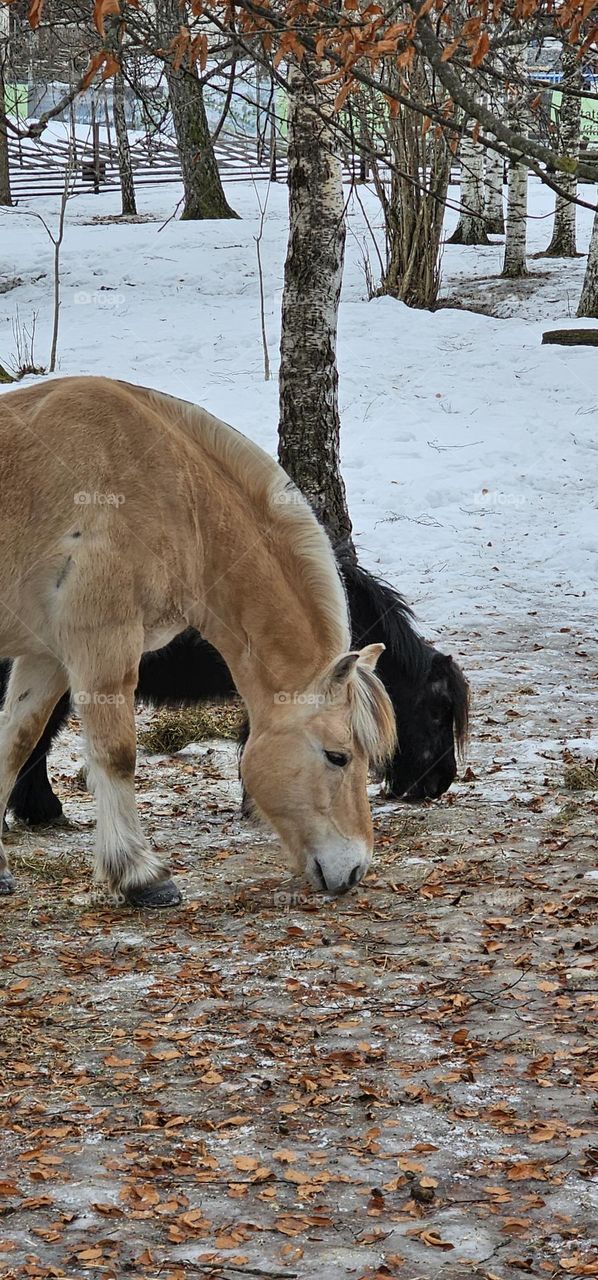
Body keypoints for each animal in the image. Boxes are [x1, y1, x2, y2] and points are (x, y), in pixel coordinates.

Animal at [0, 376, 397, 906]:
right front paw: (142, 876)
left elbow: (15, 743)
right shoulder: (103, 647)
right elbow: (116, 755)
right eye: (338, 756)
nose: (354, 870)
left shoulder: (45, 657)